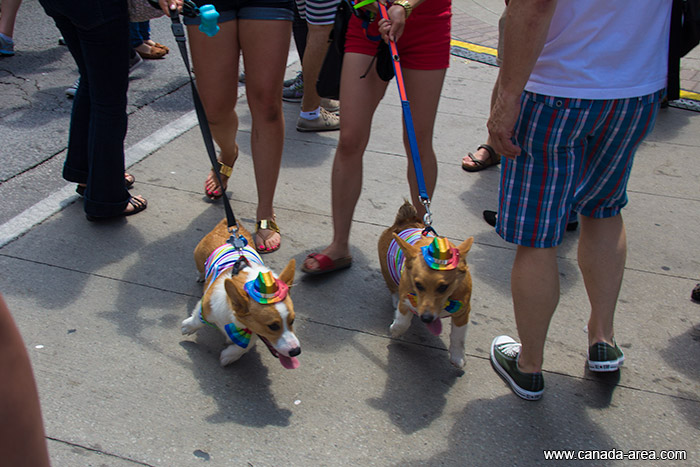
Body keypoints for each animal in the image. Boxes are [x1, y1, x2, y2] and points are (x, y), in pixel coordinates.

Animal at [182, 219, 300, 370]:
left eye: (292, 321)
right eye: (273, 326)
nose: (296, 351)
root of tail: (226, 225)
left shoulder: (252, 332)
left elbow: (245, 346)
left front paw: (229, 356)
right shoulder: (207, 304)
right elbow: (197, 318)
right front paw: (187, 327)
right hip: (199, 258)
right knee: (201, 270)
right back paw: (201, 276)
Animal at [378, 201, 476, 370]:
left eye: (444, 287)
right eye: (418, 285)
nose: (426, 318)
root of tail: (406, 221)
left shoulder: (463, 312)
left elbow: (458, 337)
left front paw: (457, 358)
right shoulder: (406, 300)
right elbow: (403, 321)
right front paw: (395, 330)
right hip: (387, 270)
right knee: (393, 289)